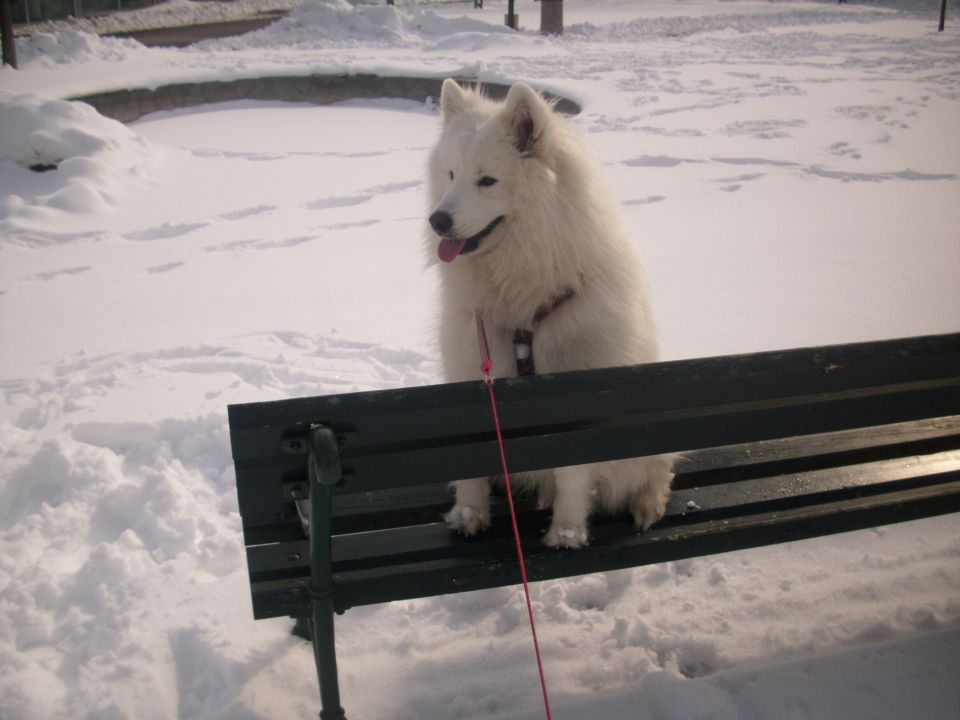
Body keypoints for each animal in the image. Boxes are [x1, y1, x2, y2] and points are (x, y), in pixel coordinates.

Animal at [424, 79, 672, 548]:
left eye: (487, 180)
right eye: (450, 175)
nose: (437, 220)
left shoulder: (579, 395)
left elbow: (572, 475)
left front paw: (567, 532)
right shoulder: (469, 372)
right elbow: (470, 467)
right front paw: (469, 514)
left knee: (658, 469)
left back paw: (648, 506)